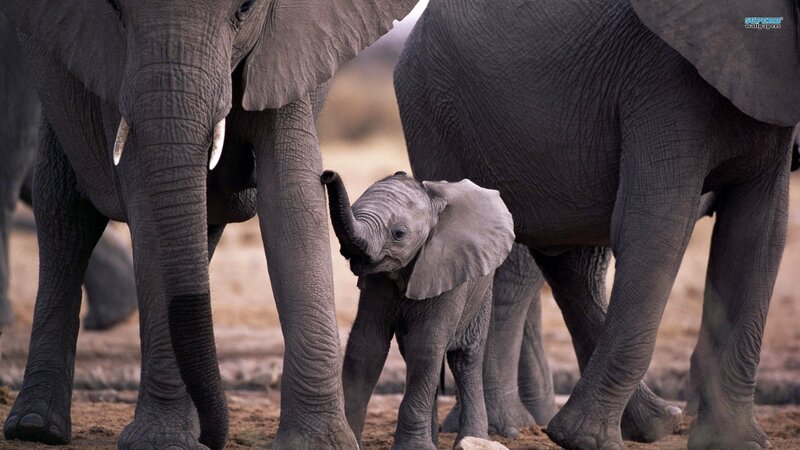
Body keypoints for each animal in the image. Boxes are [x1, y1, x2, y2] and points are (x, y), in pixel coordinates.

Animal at [321, 170, 515, 449]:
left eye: (399, 234)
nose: (327, 175)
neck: (432, 202)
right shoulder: (377, 282)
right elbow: (366, 347)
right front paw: (351, 440)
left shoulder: (447, 268)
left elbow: (425, 347)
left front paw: (414, 448)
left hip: (482, 289)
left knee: (464, 359)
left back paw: (472, 439)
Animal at [395, 0, 798, 448]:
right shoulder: (663, 81)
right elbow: (657, 228)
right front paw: (583, 441)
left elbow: (757, 237)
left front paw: (735, 442)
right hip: (435, 112)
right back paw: (509, 429)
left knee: (569, 263)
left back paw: (655, 423)